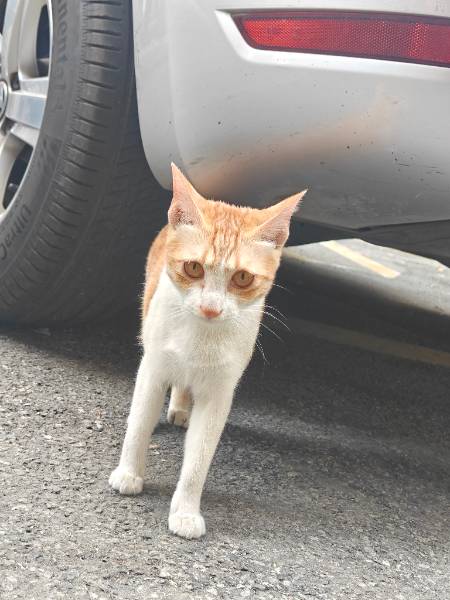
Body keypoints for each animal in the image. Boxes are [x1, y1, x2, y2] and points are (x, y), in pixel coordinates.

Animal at [109, 163, 306, 539]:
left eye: (242, 278)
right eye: (193, 267)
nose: (211, 308)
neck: (201, 336)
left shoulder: (220, 391)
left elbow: (199, 458)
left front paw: (185, 512)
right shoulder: (153, 368)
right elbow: (139, 423)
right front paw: (129, 473)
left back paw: (180, 407)